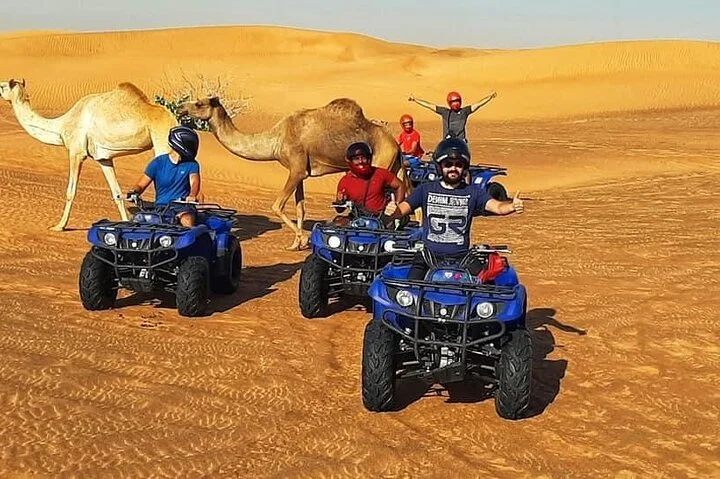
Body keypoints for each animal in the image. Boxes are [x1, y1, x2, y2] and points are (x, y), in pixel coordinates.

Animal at [0, 79, 178, 231]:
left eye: (2, 86)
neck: (62, 125)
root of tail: (174, 119)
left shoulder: (76, 152)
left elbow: (70, 191)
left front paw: (59, 226)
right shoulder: (104, 158)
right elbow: (117, 193)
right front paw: (127, 223)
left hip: (163, 143)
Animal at [178, 97, 403, 250]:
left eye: (199, 103)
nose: (180, 107)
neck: (276, 138)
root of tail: (395, 144)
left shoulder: (296, 169)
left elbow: (277, 206)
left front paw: (304, 238)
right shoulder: (301, 172)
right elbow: (300, 208)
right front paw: (296, 244)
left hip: (382, 160)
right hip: (395, 166)